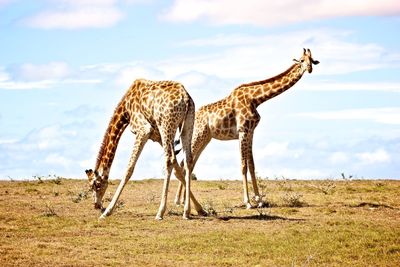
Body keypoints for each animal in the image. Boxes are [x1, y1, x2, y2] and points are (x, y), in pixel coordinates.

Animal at [85, 78, 206, 221]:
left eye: (96, 185)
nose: (96, 205)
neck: (125, 111)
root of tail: (186, 98)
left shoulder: (143, 130)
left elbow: (129, 168)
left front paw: (107, 212)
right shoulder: (157, 136)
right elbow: (178, 169)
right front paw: (200, 209)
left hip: (166, 125)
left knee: (169, 160)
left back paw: (160, 212)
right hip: (187, 124)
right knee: (188, 160)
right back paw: (186, 212)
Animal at [175, 48, 318, 209]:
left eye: (313, 60)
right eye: (302, 60)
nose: (309, 69)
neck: (256, 99)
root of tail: (195, 116)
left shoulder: (250, 132)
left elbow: (252, 165)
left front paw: (259, 200)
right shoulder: (243, 131)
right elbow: (243, 165)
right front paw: (248, 202)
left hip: (206, 138)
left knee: (191, 162)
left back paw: (183, 200)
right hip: (198, 135)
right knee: (185, 162)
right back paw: (178, 200)